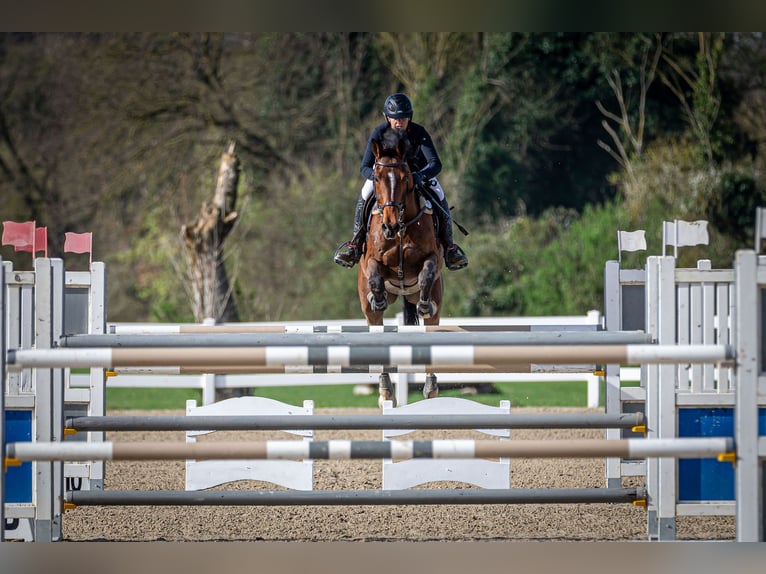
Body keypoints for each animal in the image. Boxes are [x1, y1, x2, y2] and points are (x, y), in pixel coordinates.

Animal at [357, 127, 443, 407]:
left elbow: (426, 274)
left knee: (431, 323)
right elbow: (374, 276)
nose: (390, 225)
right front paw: (378, 297)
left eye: (406, 178)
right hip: (370, 313)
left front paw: (424, 304)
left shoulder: (432, 257)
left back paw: (431, 388)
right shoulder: (371, 261)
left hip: (434, 303)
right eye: (376, 177)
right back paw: (385, 391)